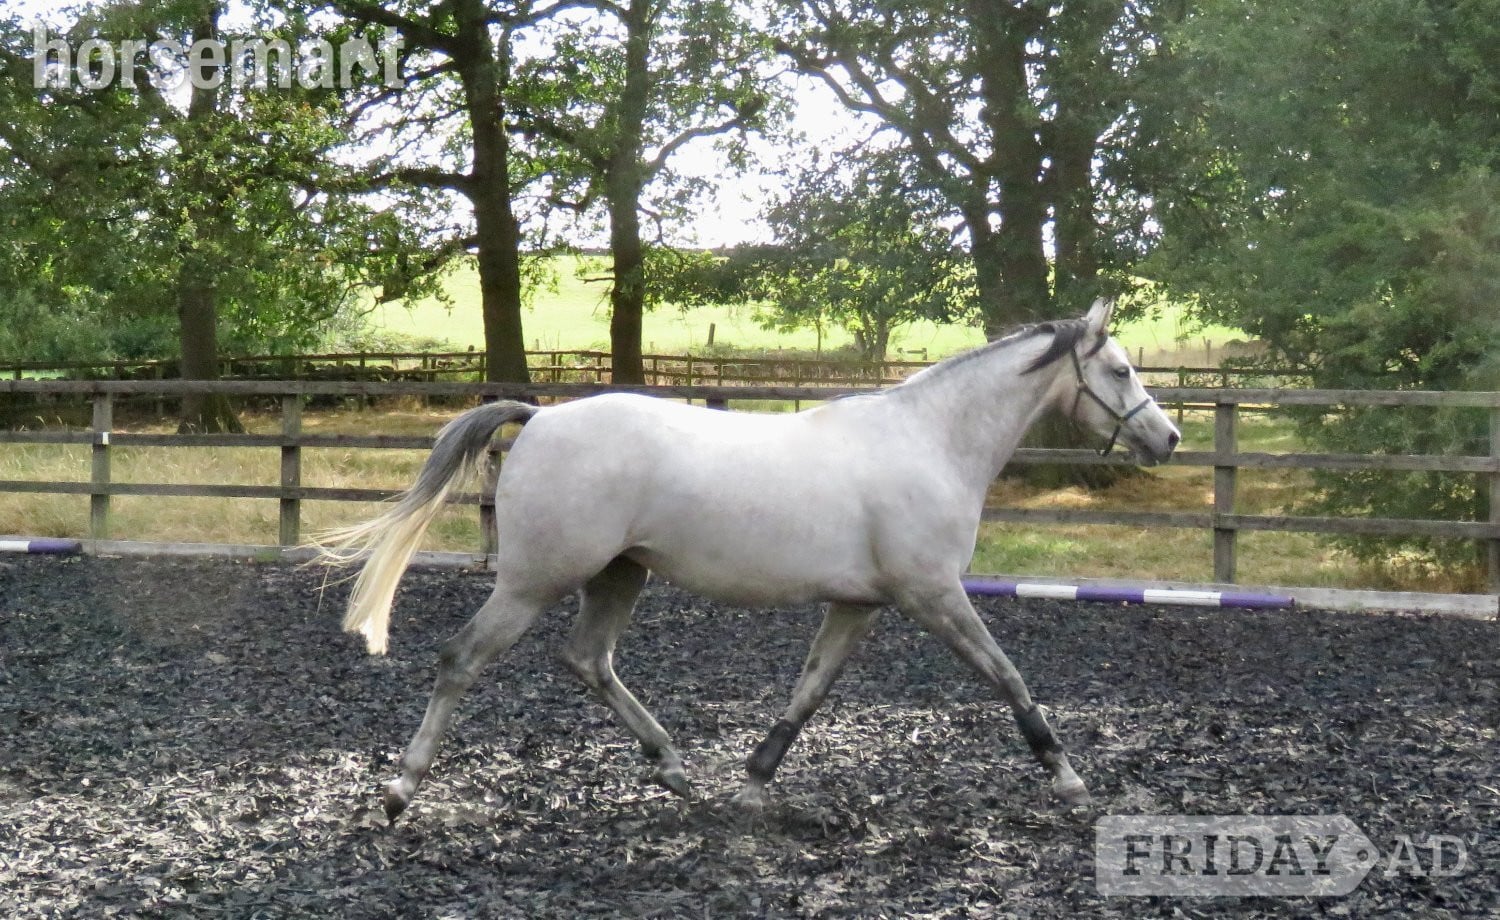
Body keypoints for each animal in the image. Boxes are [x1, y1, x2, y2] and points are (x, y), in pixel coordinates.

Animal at [322, 298, 1180, 822]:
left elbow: (809, 690)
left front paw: (755, 778)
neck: (930, 443)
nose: (1166, 438)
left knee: (588, 660)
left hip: (620, 574)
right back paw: (400, 788)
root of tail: (537, 418)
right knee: (462, 659)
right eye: (1121, 370)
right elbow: (1008, 677)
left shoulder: (860, 604)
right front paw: (1067, 777)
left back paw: (673, 767)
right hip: (536, 581)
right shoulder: (933, 594)